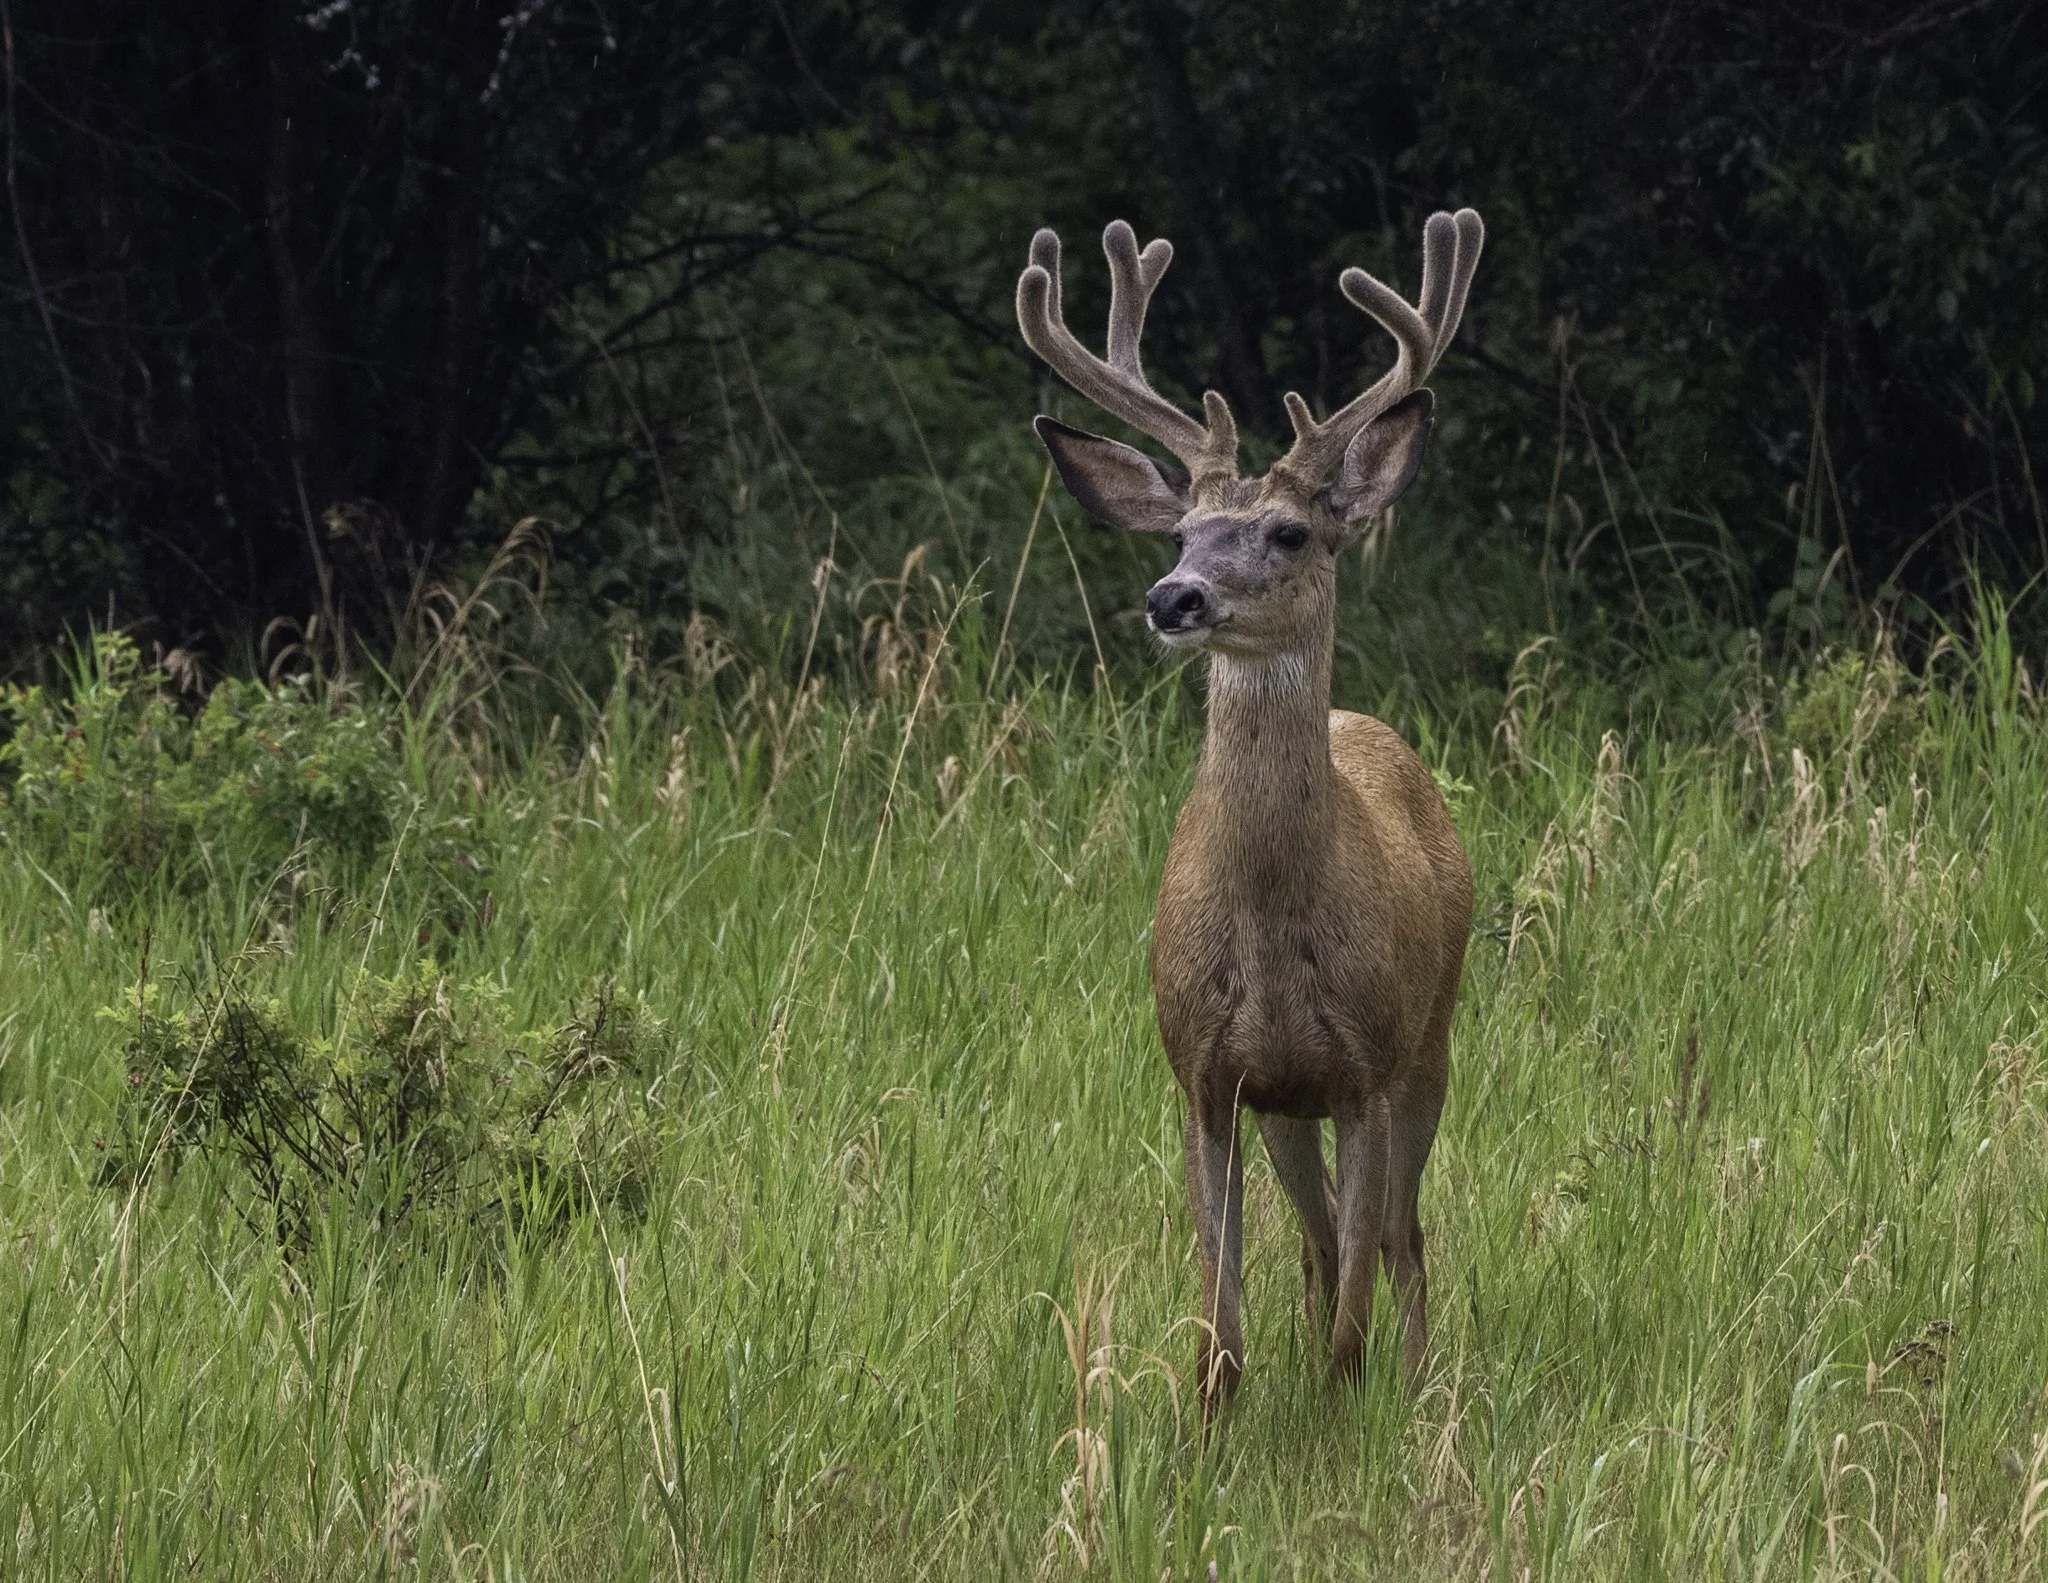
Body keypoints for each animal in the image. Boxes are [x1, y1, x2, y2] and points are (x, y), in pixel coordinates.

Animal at [1015, 209, 1482, 1414]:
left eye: (1288, 533)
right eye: (1178, 532)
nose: (1172, 597)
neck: (1274, 934)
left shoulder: (1366, 1064)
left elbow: (1358, 1310)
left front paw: (1346, 1411)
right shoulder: (1206, 1072)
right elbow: (1218, 1328)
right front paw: (1215, 1427)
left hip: (1432, 1036)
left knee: (1406, 1235)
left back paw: (1421, 1385)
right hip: (1286, 1108)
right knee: (1321, 1243)